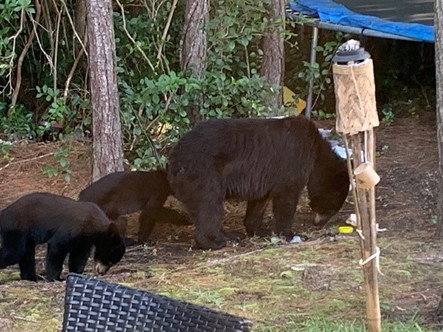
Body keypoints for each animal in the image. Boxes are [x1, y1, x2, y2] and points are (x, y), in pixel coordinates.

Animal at [168, 115, 352, 248]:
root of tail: (174, 157)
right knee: (210, 206)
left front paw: (258, 230)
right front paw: (290, 234)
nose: (318, 224)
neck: (316, 152)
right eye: (330, 208)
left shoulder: (263, 177)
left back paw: (231, 235)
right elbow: (287, 196)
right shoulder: (293, 160)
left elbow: (259, 201)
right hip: (204, 173)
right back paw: (216, 241)